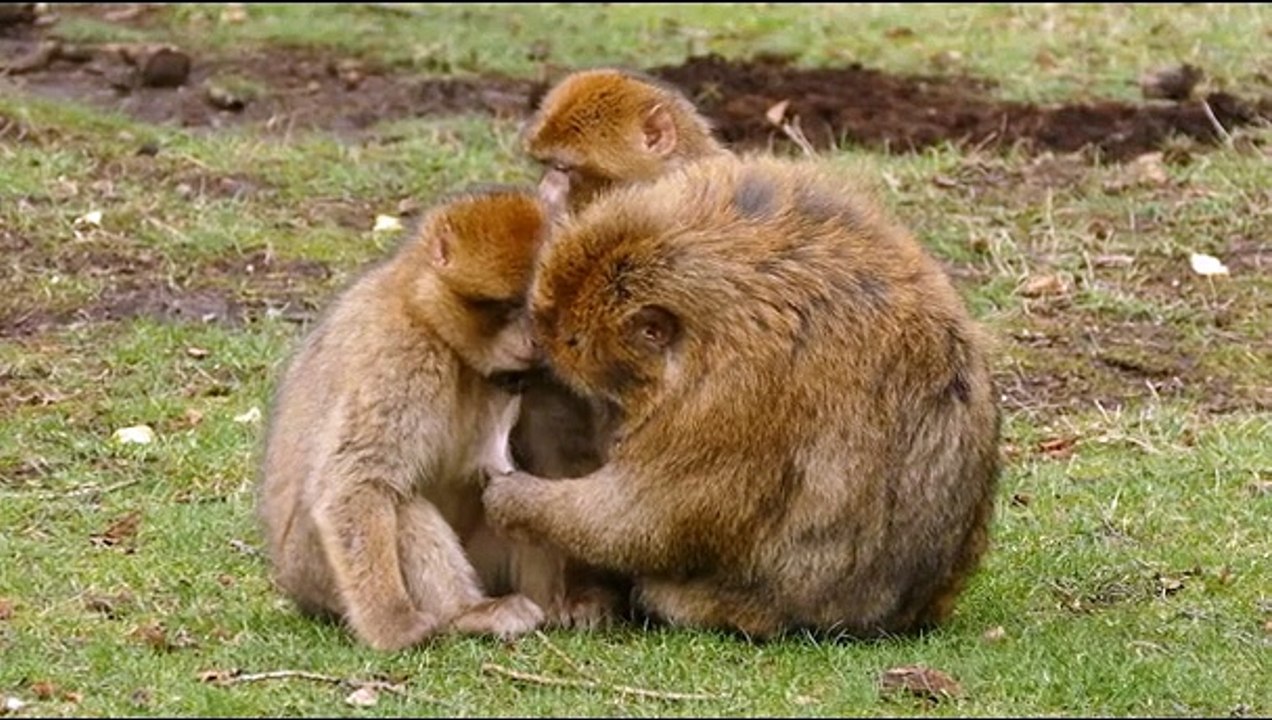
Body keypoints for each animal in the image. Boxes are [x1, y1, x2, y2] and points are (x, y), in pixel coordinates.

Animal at [257, 187, 555, 651]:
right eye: (506, 305)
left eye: (539, 307)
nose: (535, 340)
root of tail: (292, 584)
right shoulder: (399, 355)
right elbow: (356, 483)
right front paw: (391, 624)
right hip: (316, 570)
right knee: (401, 503)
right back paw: (466, 614)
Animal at [483, 154, 1002, 641]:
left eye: (572, 341)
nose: (541, 350)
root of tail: (910, 612)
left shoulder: (731, 394)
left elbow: (648, 518)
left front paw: (520, 501)